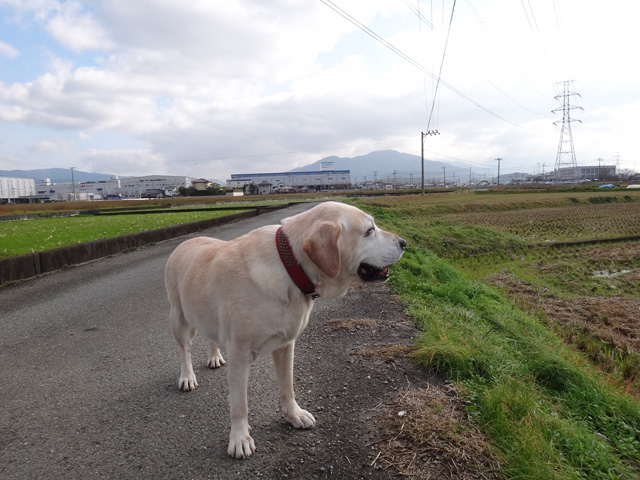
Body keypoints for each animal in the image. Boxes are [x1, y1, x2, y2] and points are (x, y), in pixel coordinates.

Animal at [165, 202, 404, 458]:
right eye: (369, 230)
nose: (404, 243)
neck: (291, 266)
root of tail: (185, 241)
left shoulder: (286, 344)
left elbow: (287, 386)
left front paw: (294, 415)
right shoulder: (239, 352)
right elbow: (239, 403)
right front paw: (239, 438)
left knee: (211, 336)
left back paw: (214, 356)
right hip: (178, 318)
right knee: (184, 349)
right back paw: (187, 377)